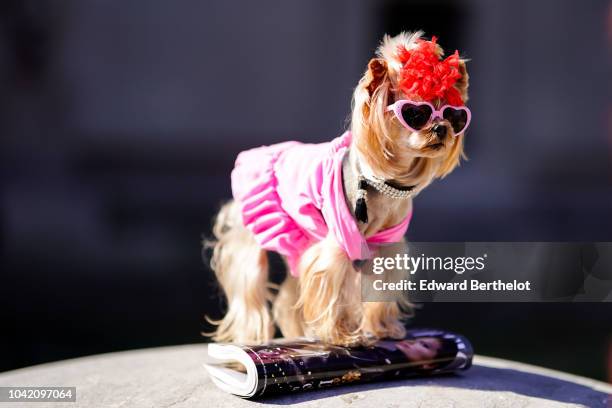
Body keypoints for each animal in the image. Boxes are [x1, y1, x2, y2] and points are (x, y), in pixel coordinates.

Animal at [208, 32, 470, 344]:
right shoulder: (338, 245)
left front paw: (383, 329)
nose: (442, 128)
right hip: (253, 228)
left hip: (299, 236)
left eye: (454, 116)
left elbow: (378, 288)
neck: (383, 183)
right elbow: (333, 287)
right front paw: (341, 335)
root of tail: (253, 154)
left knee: (288, 292)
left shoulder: (386, 248)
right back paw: (250, 336)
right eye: (416, 113)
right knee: (249, 281)